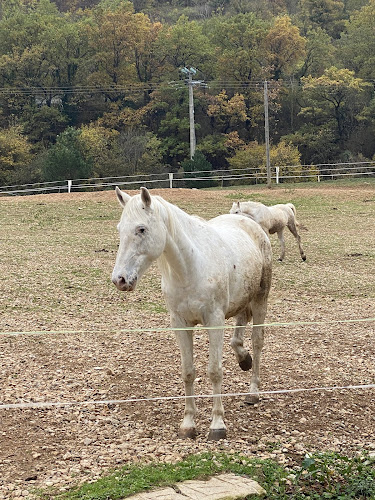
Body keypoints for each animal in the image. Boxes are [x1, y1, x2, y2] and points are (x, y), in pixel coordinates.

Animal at [112, 188, 274, 442]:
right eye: (120, 229)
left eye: (141, 229)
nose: (119, 279)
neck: (189, 268)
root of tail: (250, 223)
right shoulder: (180, 324)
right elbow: (188, 372)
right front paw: (188, 424)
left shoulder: (215, 321)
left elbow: (215, 371)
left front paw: (217, 425)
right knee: (238, 334)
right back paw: (243, 359)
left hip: (260, 300)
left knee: (257, 342)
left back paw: (253, 392)